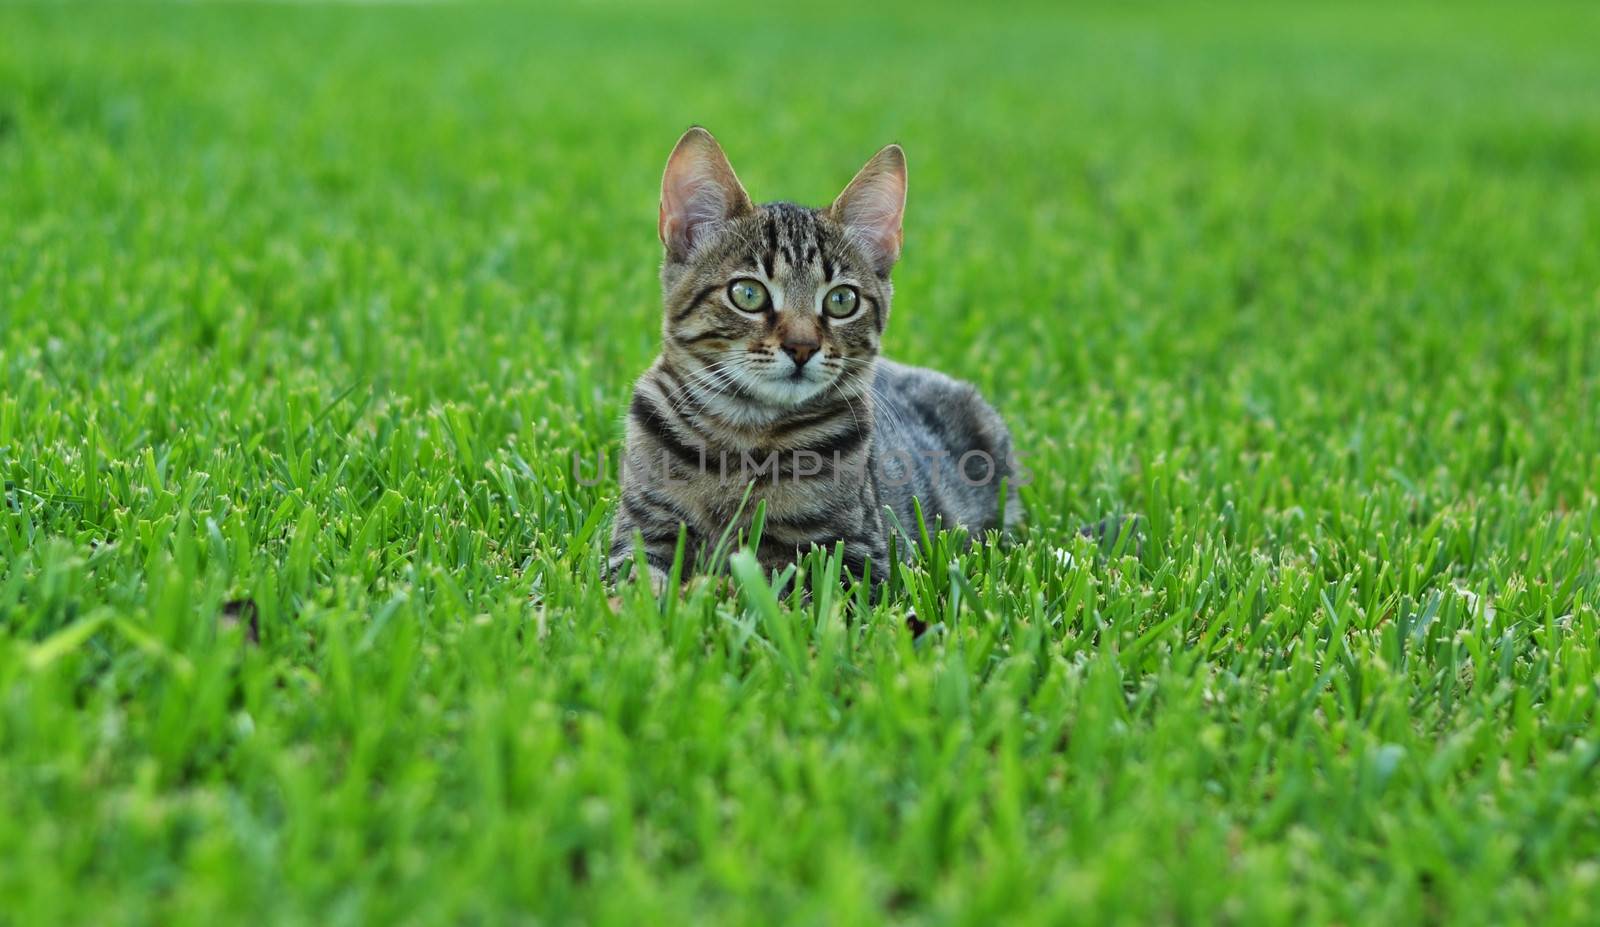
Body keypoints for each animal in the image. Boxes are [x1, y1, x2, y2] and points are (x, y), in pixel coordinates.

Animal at [611, 127, 1024, 589]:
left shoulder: (858, 558)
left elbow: (785, 587)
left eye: (842, 300)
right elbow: (635, 584)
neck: (745, 436)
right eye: (748, 294)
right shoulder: (641, 533)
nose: (802, 347)